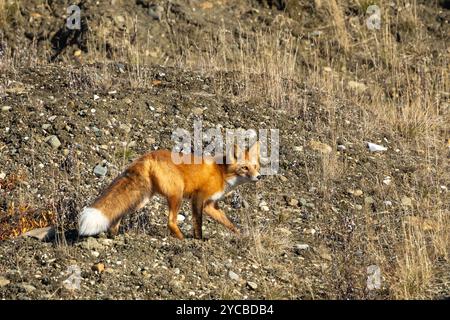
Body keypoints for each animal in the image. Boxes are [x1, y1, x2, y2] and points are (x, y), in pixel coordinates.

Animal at [77, 141, 260, 239]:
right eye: (245, 168)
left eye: (256, 166)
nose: (259, 177)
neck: (221, 173)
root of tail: (147, 156)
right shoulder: (198, 198)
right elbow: (198, 224)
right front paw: (199, 241)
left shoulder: (209, 205)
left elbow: (228, 223)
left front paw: (241, 235)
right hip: (176, 194)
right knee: (171, 222)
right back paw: (182, 240)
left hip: (141, 200)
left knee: (118, 215)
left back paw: (114, 235)